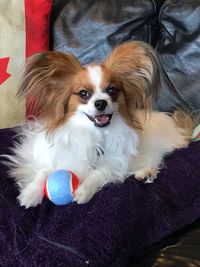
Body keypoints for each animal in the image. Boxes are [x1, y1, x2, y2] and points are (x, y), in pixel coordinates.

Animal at [5, 41, 195, 209]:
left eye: (112, 90)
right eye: (83, 93)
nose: (101, 103)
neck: (92, 133)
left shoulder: (115, 163)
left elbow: (98, 173)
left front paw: (84, 191)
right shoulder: (46, 155)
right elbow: (43, 170)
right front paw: (30, 193)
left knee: (156, 156)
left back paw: (146, 172)